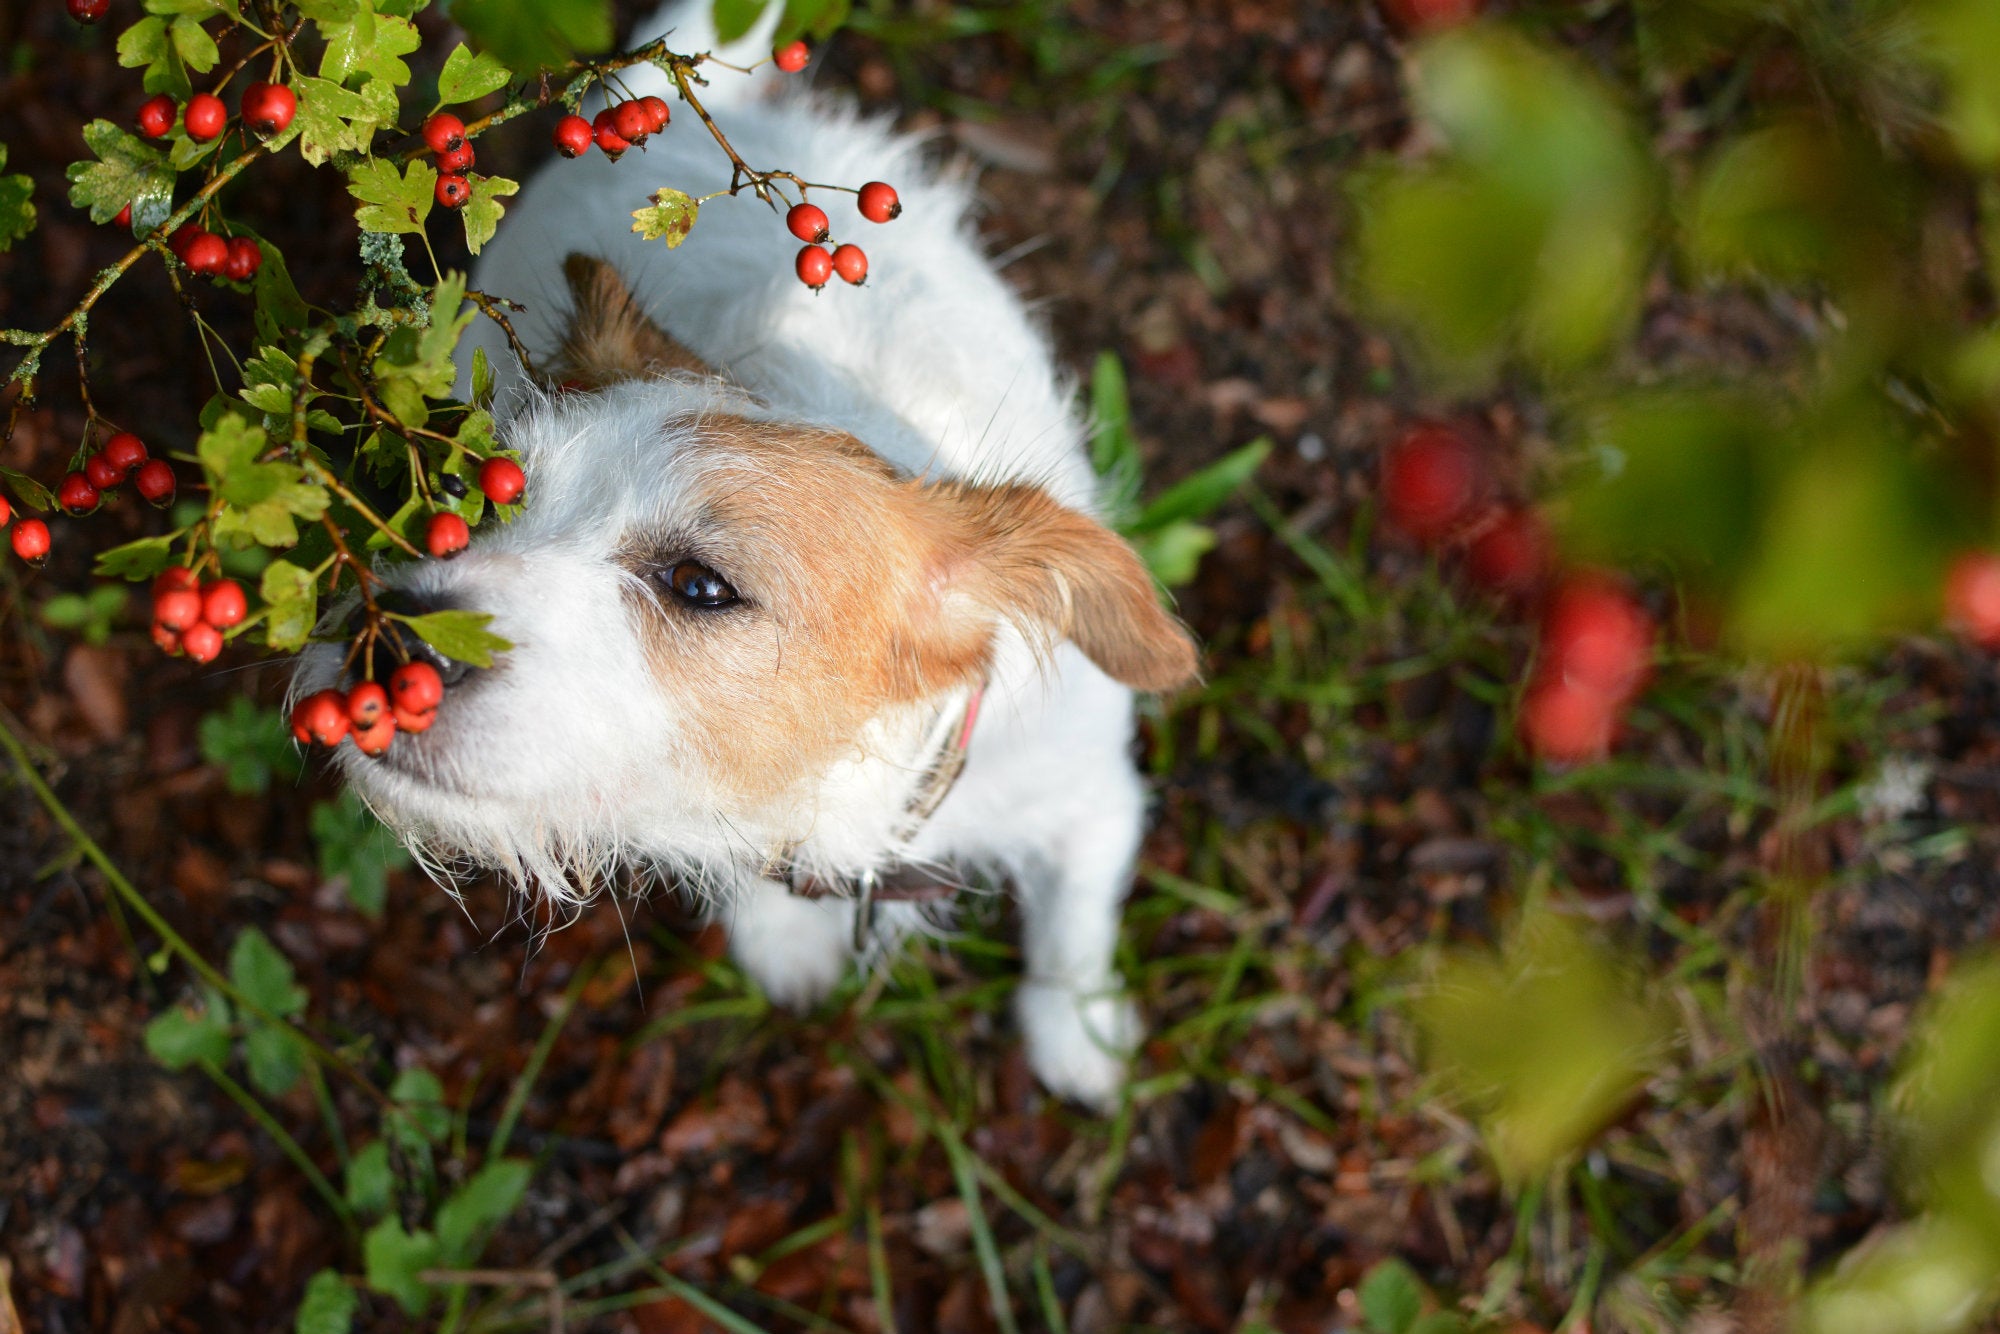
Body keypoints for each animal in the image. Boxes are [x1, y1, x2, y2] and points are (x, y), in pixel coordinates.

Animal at [294, 0, 1192, 1104]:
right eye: (482, 494)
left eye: (700, 584)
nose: (391, 646)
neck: (850, 803)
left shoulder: (1090, 795)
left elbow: (1075, 925)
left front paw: (1080, 1033)